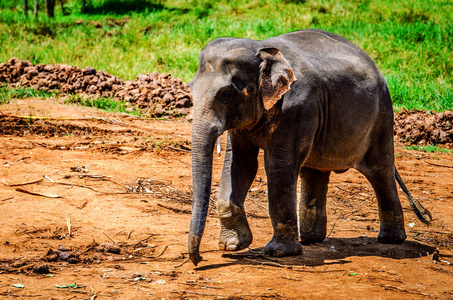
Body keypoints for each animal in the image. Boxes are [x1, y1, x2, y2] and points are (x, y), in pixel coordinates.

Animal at [188, 29, 430, 266]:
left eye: (226, 95)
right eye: (191, 90)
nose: (198, 259)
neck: (261, 47)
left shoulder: (298, 108)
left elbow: (278, 167)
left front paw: (279, 253)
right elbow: (240, 164)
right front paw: (233, 245)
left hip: (382, 116)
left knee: (380, 171)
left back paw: (391, 239)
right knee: (315, 171)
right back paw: (311, 239)